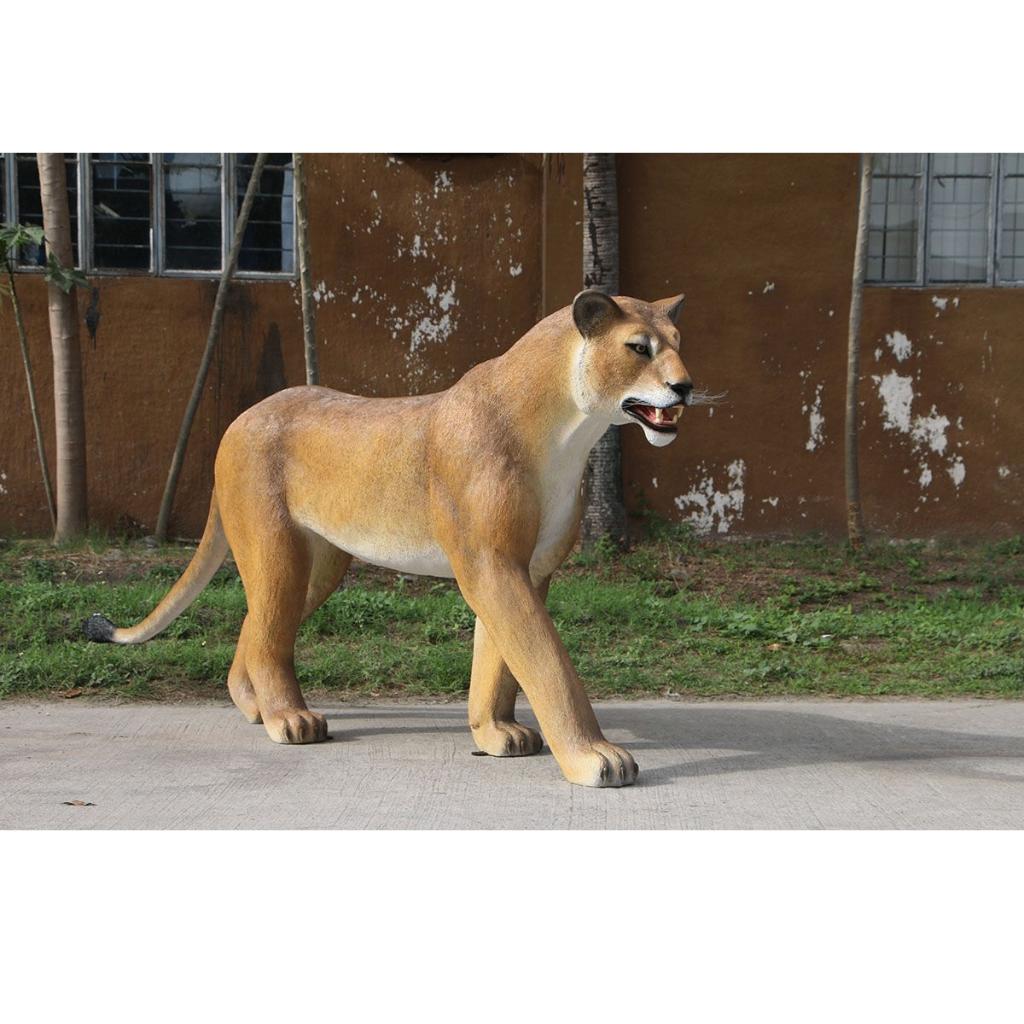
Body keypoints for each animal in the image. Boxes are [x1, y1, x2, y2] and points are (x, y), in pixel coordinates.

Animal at [85, 290, 695, 787]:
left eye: (679, 345)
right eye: (638, 348)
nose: (685, 387)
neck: (569, 432)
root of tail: (239, 419)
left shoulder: (527, 567)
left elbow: (499, 660)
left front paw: (496, 732)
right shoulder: (491, 563)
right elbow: (547, 662)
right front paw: (595, 757)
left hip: (322, 563)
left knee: (258, 626)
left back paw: (254, 705)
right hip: (277, 547)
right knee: (267, 630)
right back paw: (290, 718)